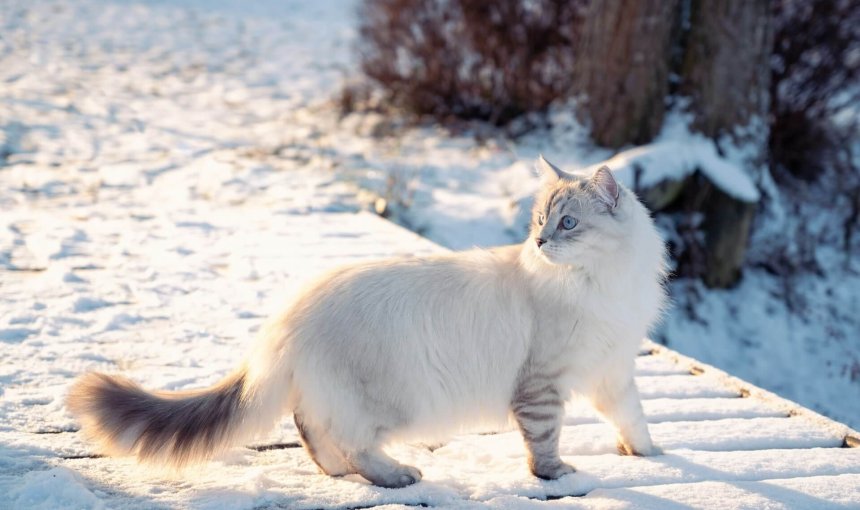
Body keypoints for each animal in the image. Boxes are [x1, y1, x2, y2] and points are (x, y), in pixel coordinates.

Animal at [70, 157, 668, 488]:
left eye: (567, 224)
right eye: (542, 222)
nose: (541, 243)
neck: (604, 285)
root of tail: (286, 315)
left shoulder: (612, 371)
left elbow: (634, 421)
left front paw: (652, 456)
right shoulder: (543, 384)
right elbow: (544, 442)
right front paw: (556, 473)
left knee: (311, 430)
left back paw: (337, 473)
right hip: (391, 399)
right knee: (348, 439)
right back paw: (395, 474)